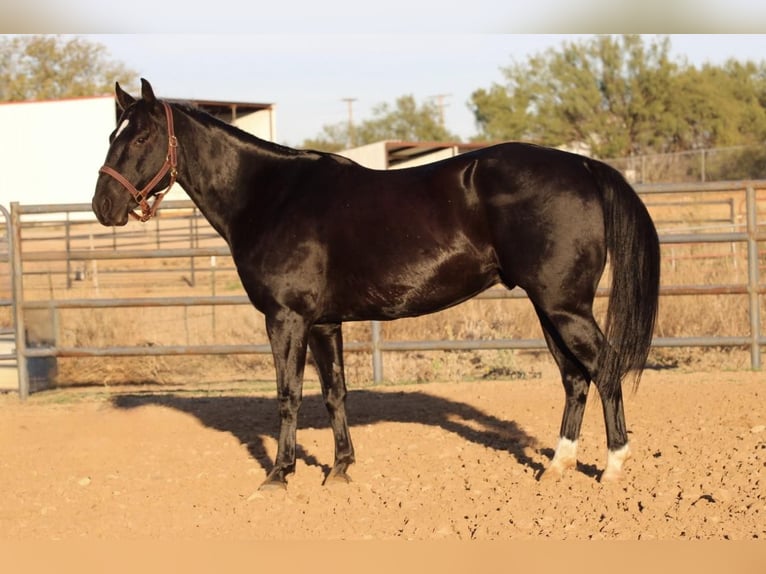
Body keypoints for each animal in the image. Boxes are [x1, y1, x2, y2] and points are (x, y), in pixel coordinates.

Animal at [94, 77, 660, 490]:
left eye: (140, 138)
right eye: (111, 136)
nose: (104, 206)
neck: (270, 196)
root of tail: (584, 165)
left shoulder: (286, 318)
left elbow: (288, 394)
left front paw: (279, 476)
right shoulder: (324, 323)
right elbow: (334, 393)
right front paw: (341, 469)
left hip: (564, 306)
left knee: (604, 369)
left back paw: (612, 467)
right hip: (550, 308)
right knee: (574, 378)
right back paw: (557, 466)